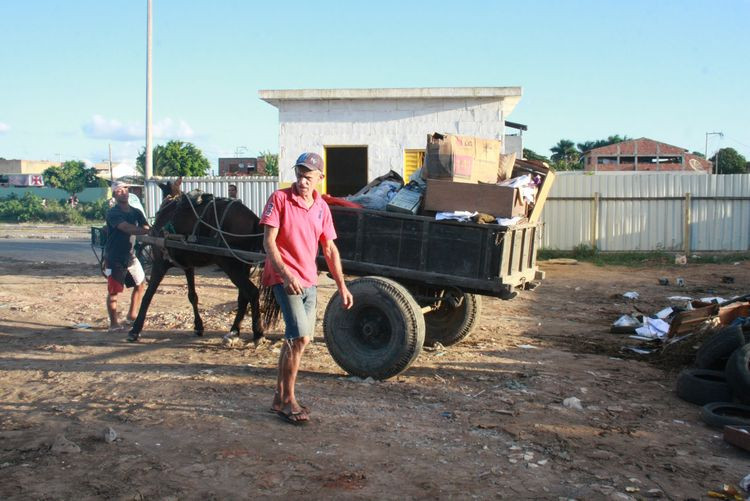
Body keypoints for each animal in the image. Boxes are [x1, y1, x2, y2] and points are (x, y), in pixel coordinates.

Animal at [128, 181, 278, 344]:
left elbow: (148, 295)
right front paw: (198, 326)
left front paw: (135, 329)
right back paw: (234, 331)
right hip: (243, 264)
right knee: (243, 296)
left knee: (252, 292)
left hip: (230, 265)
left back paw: (258, 333)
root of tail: (253, 218)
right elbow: (192, 296)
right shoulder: (188, 266)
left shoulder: (160, 263)